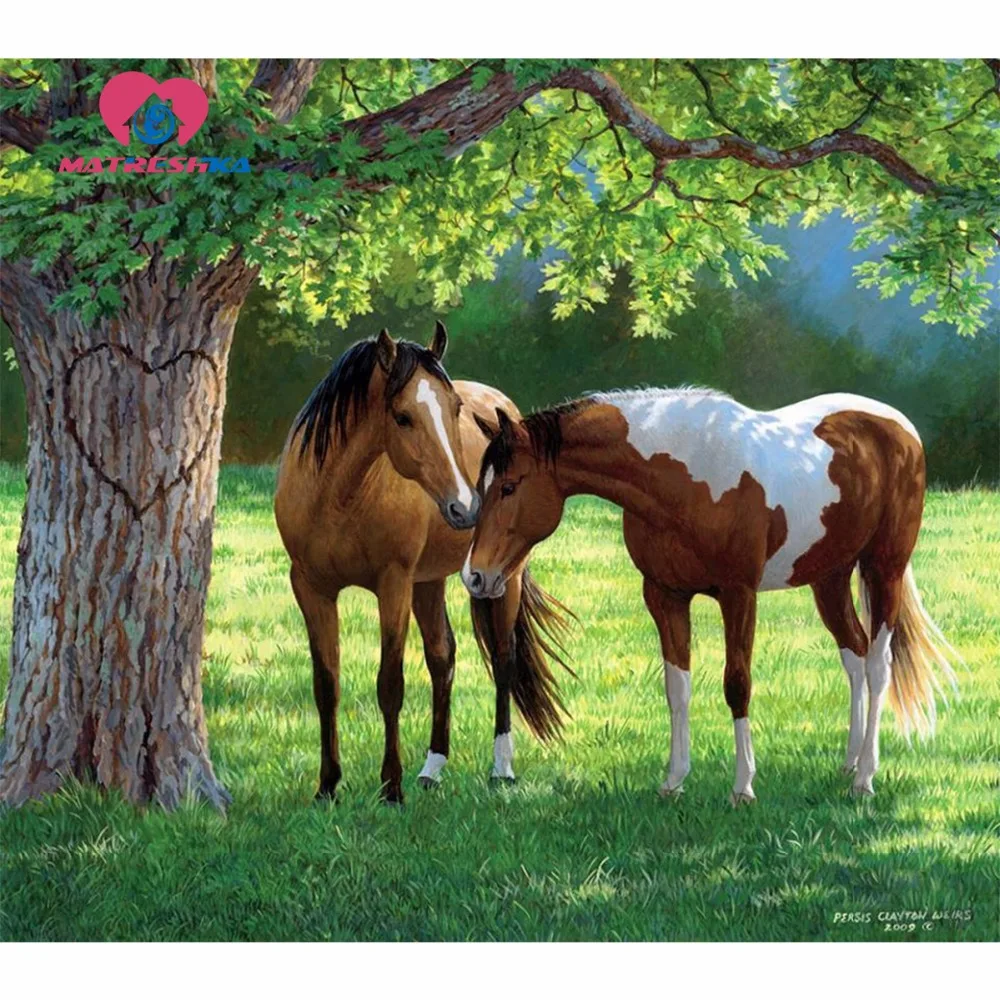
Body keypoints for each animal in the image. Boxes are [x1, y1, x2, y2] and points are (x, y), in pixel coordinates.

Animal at [274, 323, 569, 803]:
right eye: (402, 417)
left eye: (455, 408)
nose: (466, 507)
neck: (337, 498)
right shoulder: (311, 587)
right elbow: (326, 684)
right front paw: (328, 786)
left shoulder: (393, 584)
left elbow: (390, 684)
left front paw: (390, 788)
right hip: (428, 583)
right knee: (442, 656)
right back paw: (432, 768)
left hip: (503, 577)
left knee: (503, 658)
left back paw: (501, 769)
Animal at [462, 387, 959, 804]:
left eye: (509, 486)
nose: (475, 576)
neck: (685, 479)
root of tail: (899, 425)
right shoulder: (664, 596)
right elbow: (676, 687)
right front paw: (674, 780)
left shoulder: (738, 595)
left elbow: (737, 684)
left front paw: (743, 787)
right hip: (829, 577)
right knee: (853, 654)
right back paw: (850, 762)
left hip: (883, 568)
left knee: (877, 665)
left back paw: (865, 778)